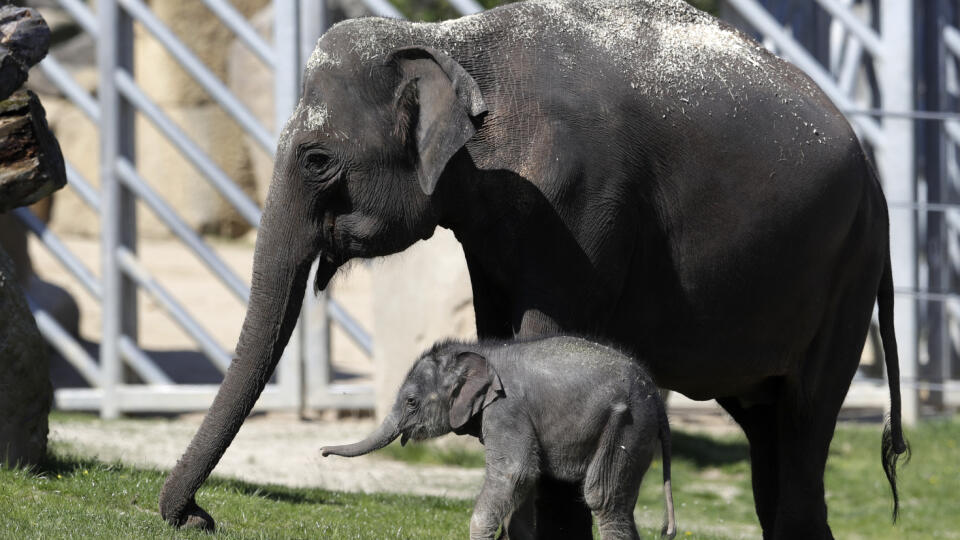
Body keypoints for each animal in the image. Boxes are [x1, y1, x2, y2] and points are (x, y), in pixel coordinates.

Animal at [322, 338, 676, 540]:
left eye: (411, 402)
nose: (323, 452)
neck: (484, 352)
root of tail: (658, 399)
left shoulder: (506, 409)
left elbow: (514, 472)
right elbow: (526, 482)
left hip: (628, 424)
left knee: (602, 497)